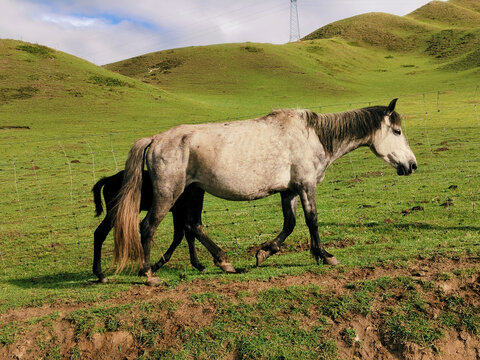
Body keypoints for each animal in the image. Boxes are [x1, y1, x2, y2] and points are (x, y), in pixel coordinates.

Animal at [92, 170, 234, 282]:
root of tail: (109, 179)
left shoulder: (179, 211)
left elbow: (183, 236)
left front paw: (197, 264)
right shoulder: (185, 209)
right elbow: (187, 232)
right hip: (115, 212)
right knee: (99, 233)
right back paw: (100, 275)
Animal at [112, 98, 416, 284]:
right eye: (397, 131)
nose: (411, 165)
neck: (313, 136)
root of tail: (155, 139)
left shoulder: (289, 190)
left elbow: (290, 224)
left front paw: (265, 252)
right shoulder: (306, 185)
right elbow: (312, 220)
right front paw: (326, 255)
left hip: (193, 192)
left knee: (193, 225)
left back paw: (223, 262)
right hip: (169, 193)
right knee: (148, 227)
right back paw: (149, 274)